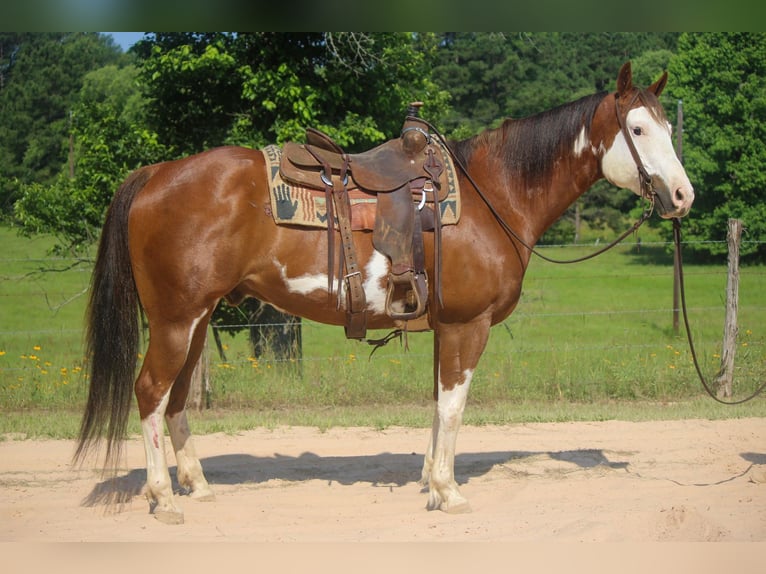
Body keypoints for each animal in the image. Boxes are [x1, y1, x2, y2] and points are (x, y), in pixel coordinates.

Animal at [76, 63, 696, 528]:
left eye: (669, 128)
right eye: (638, 130)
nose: (683, 196)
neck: (493, 195)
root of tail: (157, 173)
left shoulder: (443, 328)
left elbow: (438, 407)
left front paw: (430, 482)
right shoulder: (467, 327)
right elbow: (454, 406)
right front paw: (449, 491)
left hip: (197, 318)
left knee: (176, 396)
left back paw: (196, 485)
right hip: (176, 319)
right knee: (151, 392)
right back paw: (161, 498)